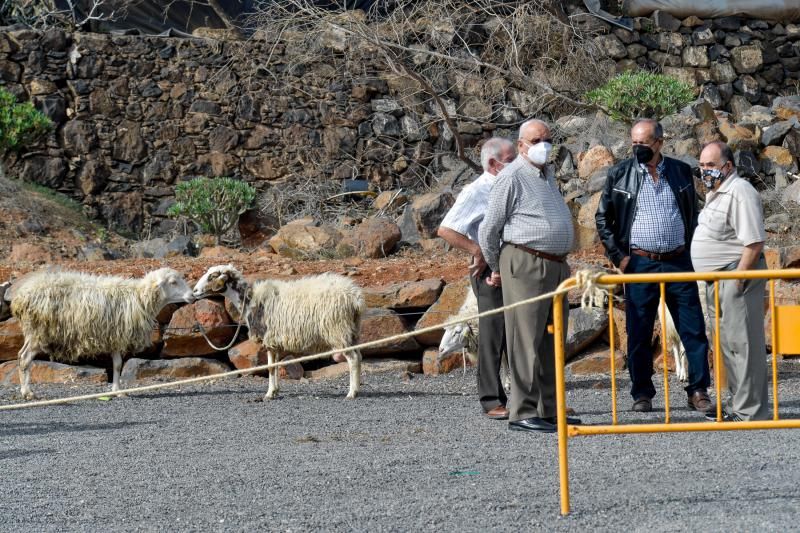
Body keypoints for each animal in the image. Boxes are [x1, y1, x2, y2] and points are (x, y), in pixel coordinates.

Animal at [12, 268, 195, 396]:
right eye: (173, 282)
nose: (193, 296)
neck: (139, 298)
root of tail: (20, 297)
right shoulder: (119, 334)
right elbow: (118, 364)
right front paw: (118, 391)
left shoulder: (115, 336)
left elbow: (117, 364)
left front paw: (116, 390)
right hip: (38, 332)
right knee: (25, 358)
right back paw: (27, 393)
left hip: (32, 332)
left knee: (21, 355)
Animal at [194, 264, 366, 396]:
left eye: (213, 276)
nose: (195, 291)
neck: (249, 300)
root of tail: (354, 298)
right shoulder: (274, 341)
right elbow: (275, 366)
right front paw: (275, 390)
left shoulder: (268, 338)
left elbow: (270, 367)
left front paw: (269, 394)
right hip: (352, 331)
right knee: (358, 357)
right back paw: (357, 389)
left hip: (338, 330)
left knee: (352, 359)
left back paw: (351, 393)